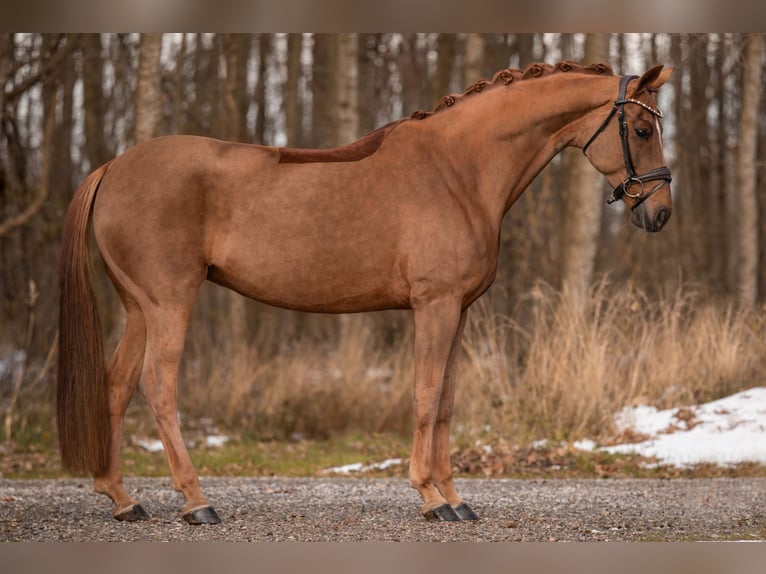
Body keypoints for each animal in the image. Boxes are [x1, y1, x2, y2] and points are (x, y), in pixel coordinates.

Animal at [57, 63, 676, 528]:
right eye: (642, 130)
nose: (661, 214)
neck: (459, 170)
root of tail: (114, 166)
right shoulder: (434, 306)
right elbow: (425, 396)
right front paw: (430, 499)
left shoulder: (459, 312)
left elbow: (446, 402)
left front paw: (456, 499)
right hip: (170, 302)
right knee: (158, 387)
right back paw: (196, 502)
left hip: (139, 307)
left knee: (116, 385)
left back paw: (123, 500)